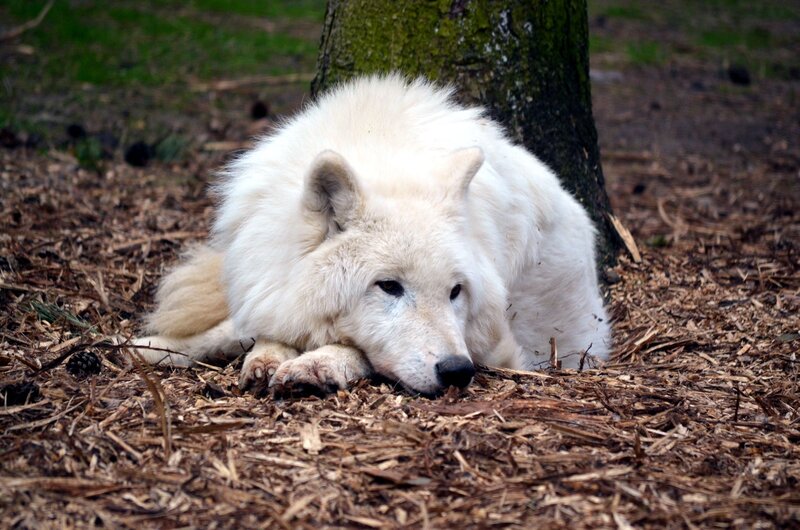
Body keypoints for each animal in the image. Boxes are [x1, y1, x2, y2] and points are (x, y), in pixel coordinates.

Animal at [127, 75, 611, 396]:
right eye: (389, 286)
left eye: (455, 292)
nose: (457, 371)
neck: (381, 151)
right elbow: (242, 327)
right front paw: (149, 346)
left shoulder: (498, 350)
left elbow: (354, 348)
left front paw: (312, 364)